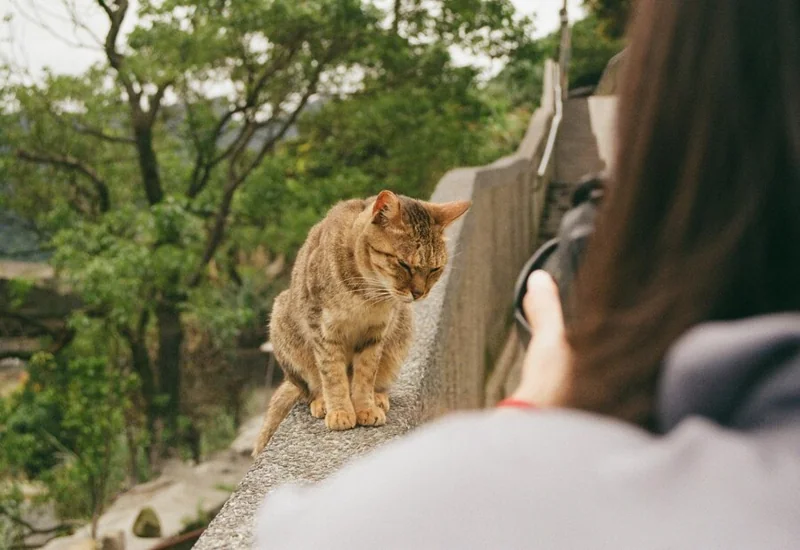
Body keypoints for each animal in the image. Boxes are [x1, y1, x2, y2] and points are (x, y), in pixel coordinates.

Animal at [253, 190, 472, 458]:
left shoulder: (375, 334)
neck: (368, 295)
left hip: (402, 329)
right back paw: (322, 402)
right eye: (404, 264)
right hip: (283, 321)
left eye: (434, 269)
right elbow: (333, 375)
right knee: (310, 387)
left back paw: (378, 397)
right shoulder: (324, 330)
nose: (419, 293)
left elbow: (366, 374)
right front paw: (340, 411)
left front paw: (365, 407)